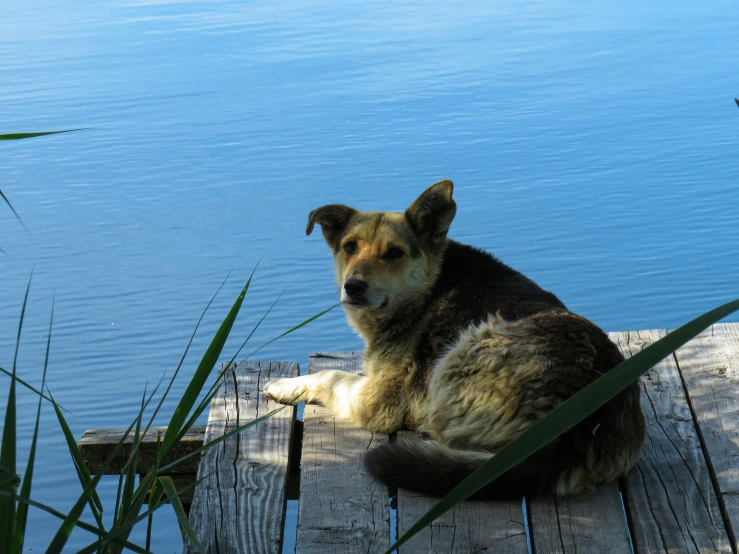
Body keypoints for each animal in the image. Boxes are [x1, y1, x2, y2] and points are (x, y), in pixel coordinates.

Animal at [264, 181, 644, 496]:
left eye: (393, 253)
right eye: (350, 247)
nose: (353, 287)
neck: (427, 288)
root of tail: (568, 432)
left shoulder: (375, 399)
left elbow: (330, 375)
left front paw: (285, 385)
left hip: (466, 349)